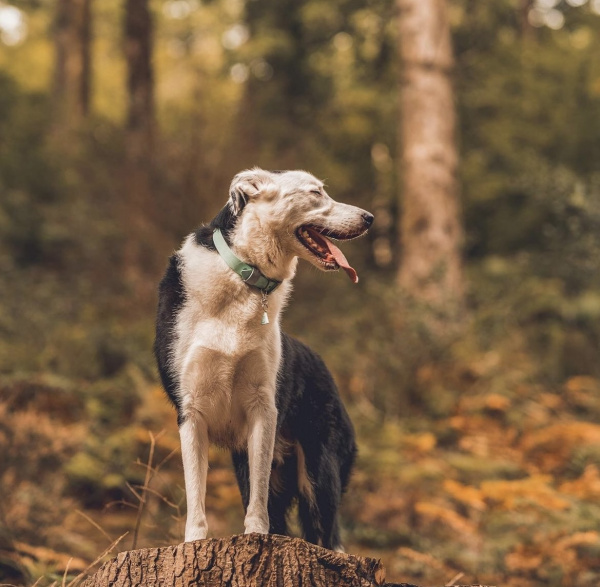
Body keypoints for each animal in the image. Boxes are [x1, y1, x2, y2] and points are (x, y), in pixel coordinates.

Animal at [152, 169, 372, 552]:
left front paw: (255, 536)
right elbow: (196, 494)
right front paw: (193, 542)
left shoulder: (262, 407)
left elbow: (258, 499)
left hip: (319, 472)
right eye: (315, 193)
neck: (245, 277)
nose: (370, 218)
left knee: (329, 536)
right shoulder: (191, 412)